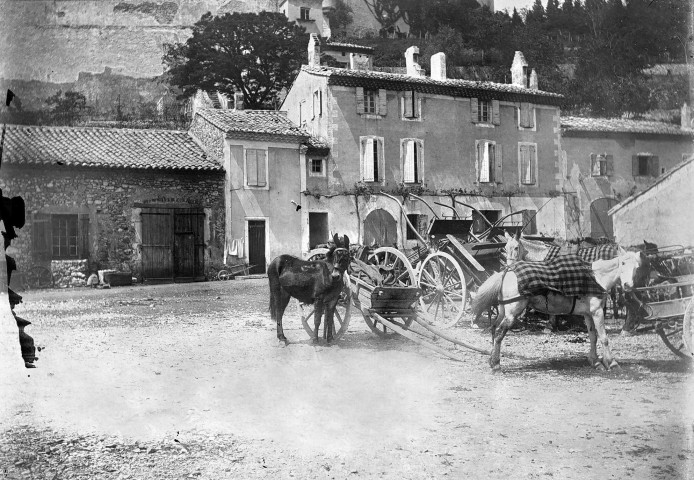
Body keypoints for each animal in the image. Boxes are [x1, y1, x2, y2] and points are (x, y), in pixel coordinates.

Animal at [474, 249, 652, 374]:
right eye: (623, 263)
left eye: (637, 267)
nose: (628, 286)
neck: (596, 277)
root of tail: (508, 271)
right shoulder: (597, 312)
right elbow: (604, 338)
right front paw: (611, 363)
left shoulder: (588, 314)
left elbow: (593, 337)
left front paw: (595, 361)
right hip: (512, 313)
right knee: (499, 332)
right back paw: (496, 365)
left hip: (504, 311)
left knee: (493, 329)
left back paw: (492, 360)